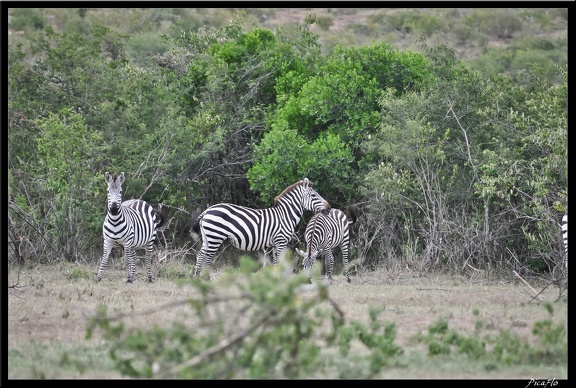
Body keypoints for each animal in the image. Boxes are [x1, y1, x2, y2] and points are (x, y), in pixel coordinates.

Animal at [190, 179, 328, 278]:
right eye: (314, 195)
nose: (329, 207)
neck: (285, 215)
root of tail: (207, 210)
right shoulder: (281, 241)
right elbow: (280, 262)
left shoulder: (274, 243)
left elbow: (275, 263)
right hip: (215, 236)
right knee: (207, 257)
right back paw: (207, 279)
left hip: (208, 237)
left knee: (200, 255)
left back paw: (197, 279)